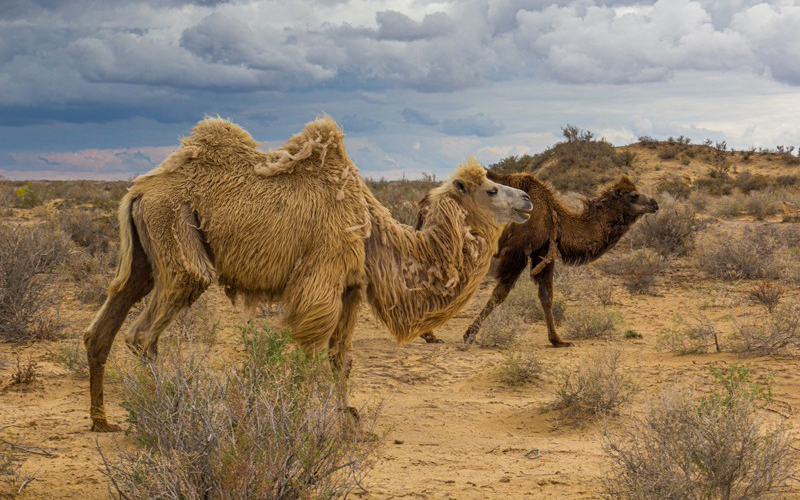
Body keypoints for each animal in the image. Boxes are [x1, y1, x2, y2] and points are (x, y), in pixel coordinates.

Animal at [84, 115, 532, 432]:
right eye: (491, 189)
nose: (527, 199)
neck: (371, 230)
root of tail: (138, 190)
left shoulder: (351, 288)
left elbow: (341, 359)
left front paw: (347, 417)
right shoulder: (321, 283)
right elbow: (308, 352)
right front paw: (304, 416)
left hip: (146, 256)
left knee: (104, 325)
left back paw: (102, 421)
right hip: (175, 233)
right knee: (146, 332)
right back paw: (165, 410)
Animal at [418, 170, 656, 346]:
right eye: (633, 195)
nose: (654, 203)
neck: (554, 215)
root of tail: (426, 200)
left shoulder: (542, 251)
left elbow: (546, 295)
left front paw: (558, 340)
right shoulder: (517, 250)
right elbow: (500, 293)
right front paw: (469, 334)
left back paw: (428, 333)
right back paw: (428, 334)